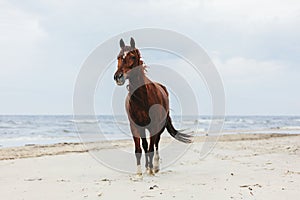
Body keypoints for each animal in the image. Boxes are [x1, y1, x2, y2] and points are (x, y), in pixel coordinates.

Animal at [113, 37, 191, 175]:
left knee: (155, 144)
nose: (118, 77)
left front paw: (150, 170)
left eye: (132, 56)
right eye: (119, 57)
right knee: (146, 145)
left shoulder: (154, 125)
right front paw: (139, 173)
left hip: (158, 127)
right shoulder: (135, 126)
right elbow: (139, 149)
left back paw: (155, 166)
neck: (142, 98)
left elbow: (151, 147)